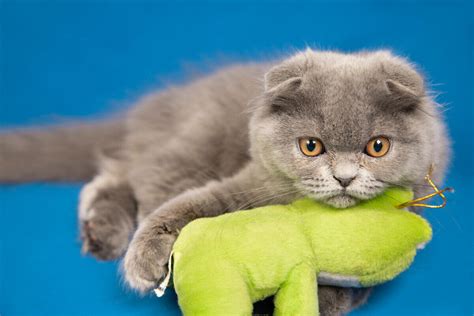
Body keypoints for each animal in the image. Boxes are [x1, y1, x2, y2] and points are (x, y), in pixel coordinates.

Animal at [0, 48, 450, 314]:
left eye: (377, 146)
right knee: (136, 171)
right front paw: (146, 260)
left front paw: (327, 298)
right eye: (311, 146)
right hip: (195, 143)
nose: (344, 178)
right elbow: (187, 207)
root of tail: (167, 101)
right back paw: (106, 235)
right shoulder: (247, 182)